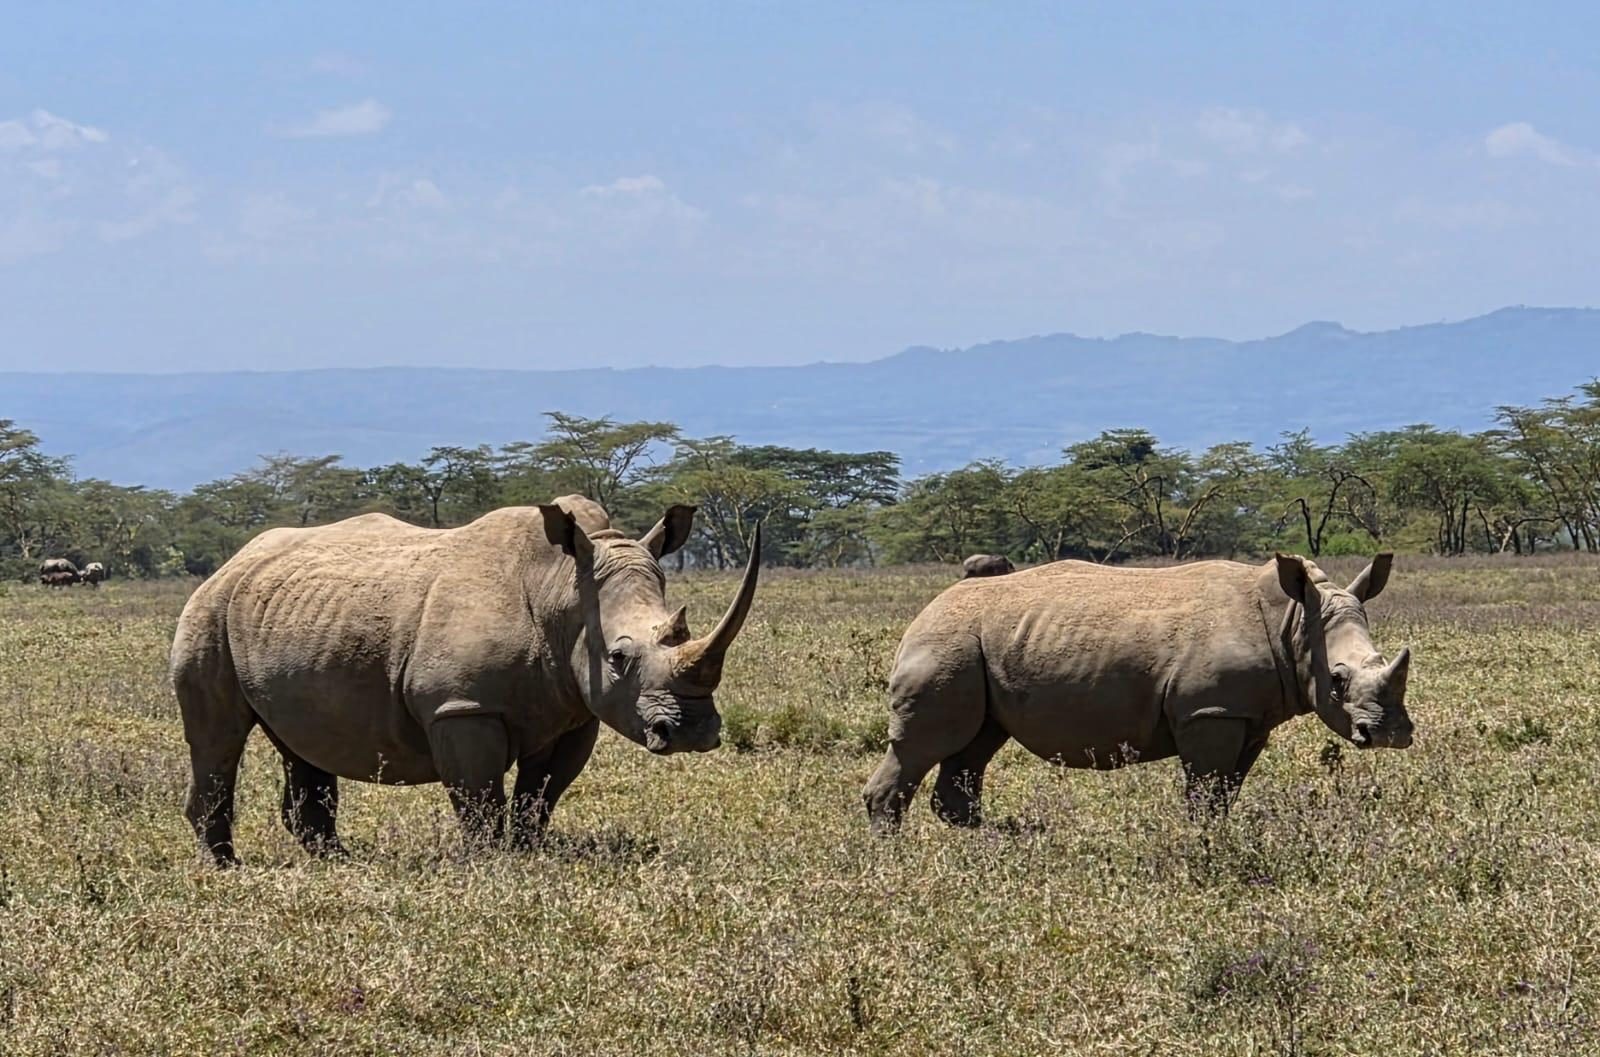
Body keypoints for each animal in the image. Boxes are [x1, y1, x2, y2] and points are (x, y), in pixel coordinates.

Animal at [171, 495, 760, 865]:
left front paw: (527, 852)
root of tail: (236, 558)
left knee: (300, 742)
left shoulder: (575, 712)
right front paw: (489, 863)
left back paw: (338, 861)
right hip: (208, 611)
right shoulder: (461, 707)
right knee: (218, 736)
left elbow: (541, 794)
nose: (692, 734)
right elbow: (478, 796)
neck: (561, 591)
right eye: (618, 658)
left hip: (287, 616)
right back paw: (226, 866)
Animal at [864, 553, 1413, 832]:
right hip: (946, 642)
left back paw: (984, 844)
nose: (1390, 735)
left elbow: (1226, 790)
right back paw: (892, 856)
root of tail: (923, 611)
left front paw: (1219, 837)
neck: (1295, 621)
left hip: (979, 647)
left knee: (976, 745)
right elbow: (1206, 791)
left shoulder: (1247, 716)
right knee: (925, 745)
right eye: (1337, 681)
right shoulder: (1209, 711)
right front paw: (1204, 846)